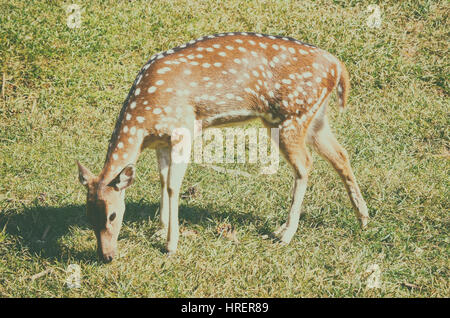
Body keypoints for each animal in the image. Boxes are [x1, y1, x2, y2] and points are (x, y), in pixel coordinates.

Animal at [76, 32, 370, 262]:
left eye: (113, 215)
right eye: (88, 216)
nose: (106, 256)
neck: (142, 123)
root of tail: (337, 66)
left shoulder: (183, 128)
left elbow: (172, 185)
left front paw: (171, 244)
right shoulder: (162, 141)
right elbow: (162, 179)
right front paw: (160, 228)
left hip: (291, 116)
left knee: (305, 164)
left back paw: (285, 233)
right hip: (314, 118)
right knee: (340, 154)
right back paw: (363, 218)